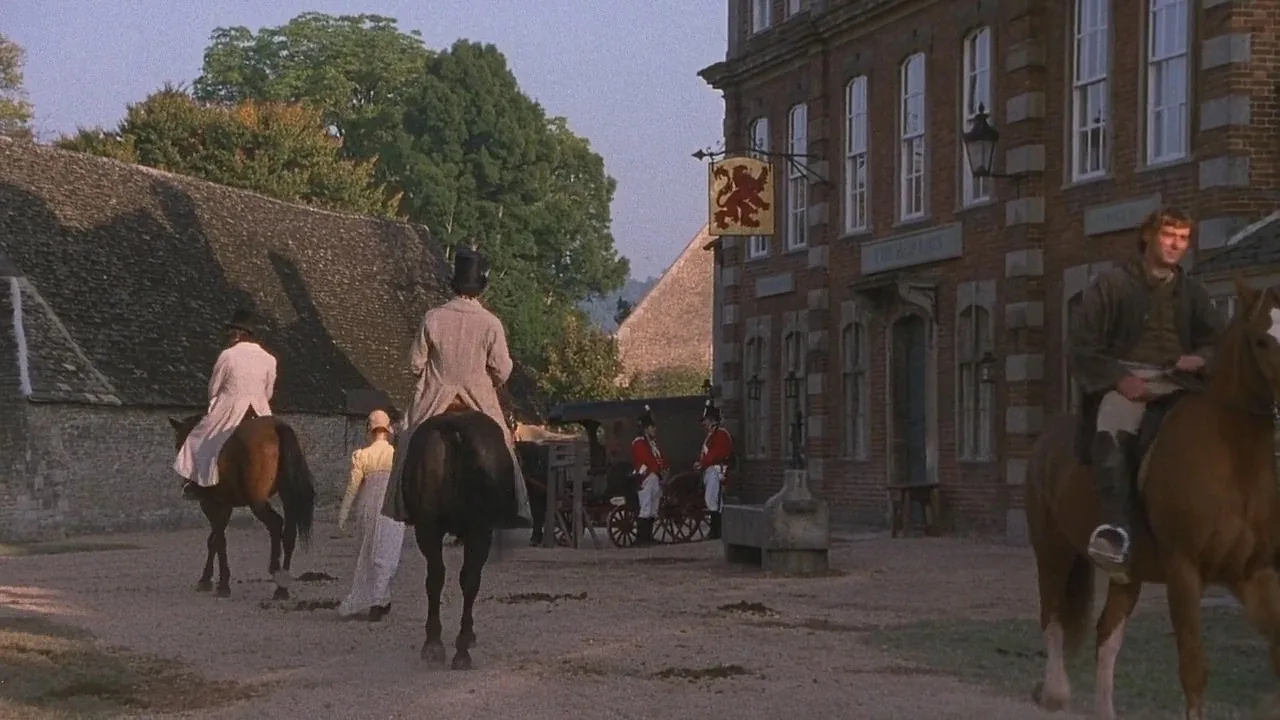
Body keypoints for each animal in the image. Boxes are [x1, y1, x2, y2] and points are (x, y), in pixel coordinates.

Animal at [166, 412, 316, 597]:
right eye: (178, 446)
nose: (187, 485)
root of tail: (277, 427)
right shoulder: (224, 505)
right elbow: (214, 539)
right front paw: (208, 579)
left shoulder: (213, 503)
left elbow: (218, 540)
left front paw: (222, 584)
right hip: (287, 495)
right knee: (288, 534)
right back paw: (281, 588)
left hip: (256, 501)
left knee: (275, 523)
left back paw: (275, 570)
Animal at [1024, 275, 1280, 717]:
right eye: (1262, 340)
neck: (1232, 458)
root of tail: (1046, 442)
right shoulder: (1184, 571)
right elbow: (1193, 669)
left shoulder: (1253, 573)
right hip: (1054, 553)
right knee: (1052, 619)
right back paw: (1055, 691)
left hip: (1129, 573)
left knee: (1106, 635)